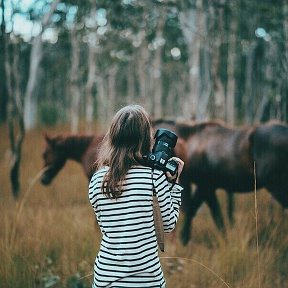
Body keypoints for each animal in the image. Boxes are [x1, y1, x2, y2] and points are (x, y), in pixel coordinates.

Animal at [153, 120, 288, 245]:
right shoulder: (208, 187)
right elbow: (212, 215)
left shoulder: (205, 186)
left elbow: (200, 213)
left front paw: (184, 240)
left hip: (277, 187)